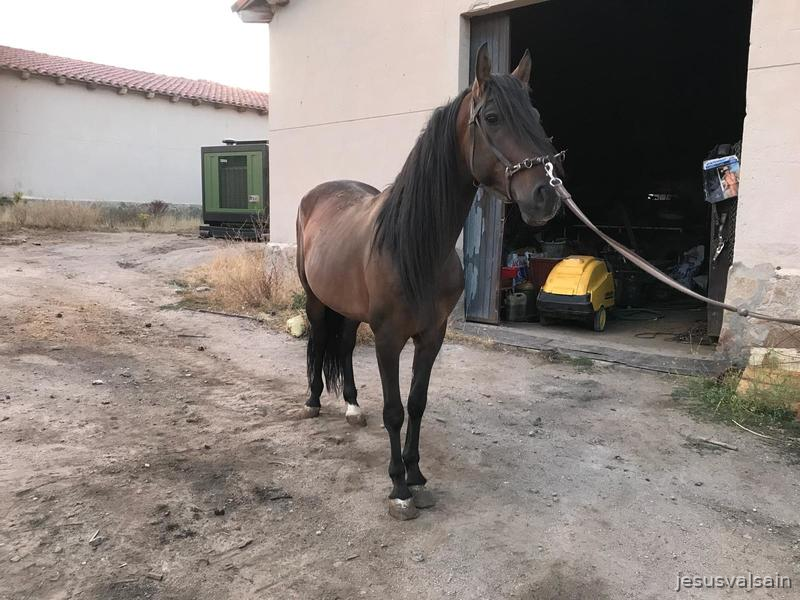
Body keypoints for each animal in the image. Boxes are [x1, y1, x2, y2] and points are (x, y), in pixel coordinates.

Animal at [296, 44, 566, 520]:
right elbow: (394, 410)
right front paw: (399, 488)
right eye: (492, 117)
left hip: (350, 309)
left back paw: (352, 406)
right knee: (318, 341)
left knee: (342, 346)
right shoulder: (388, 338)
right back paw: (312, 402)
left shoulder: (432, 335)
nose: (546, 196)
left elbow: (417, 405)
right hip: (315, 299)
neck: (416, 247)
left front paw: (417, 475)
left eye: (534, 114)